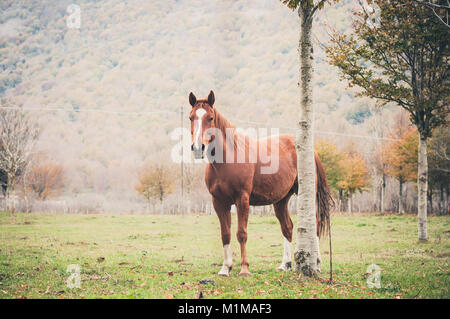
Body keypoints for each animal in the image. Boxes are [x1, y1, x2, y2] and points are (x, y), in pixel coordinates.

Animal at [188, 90, 332, 278]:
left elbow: (241, 233)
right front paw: (226, 268)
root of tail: (308, 150)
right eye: (191, 117)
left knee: (313, 224)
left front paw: (244, 269)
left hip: (307, 194)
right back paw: (285, 264)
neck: (228, 159)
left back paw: (317, 263)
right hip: (281, 201)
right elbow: (225, 234)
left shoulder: (242, 200)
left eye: (210, 118)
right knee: (287, 227)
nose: (198, 148)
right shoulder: (219, 202)